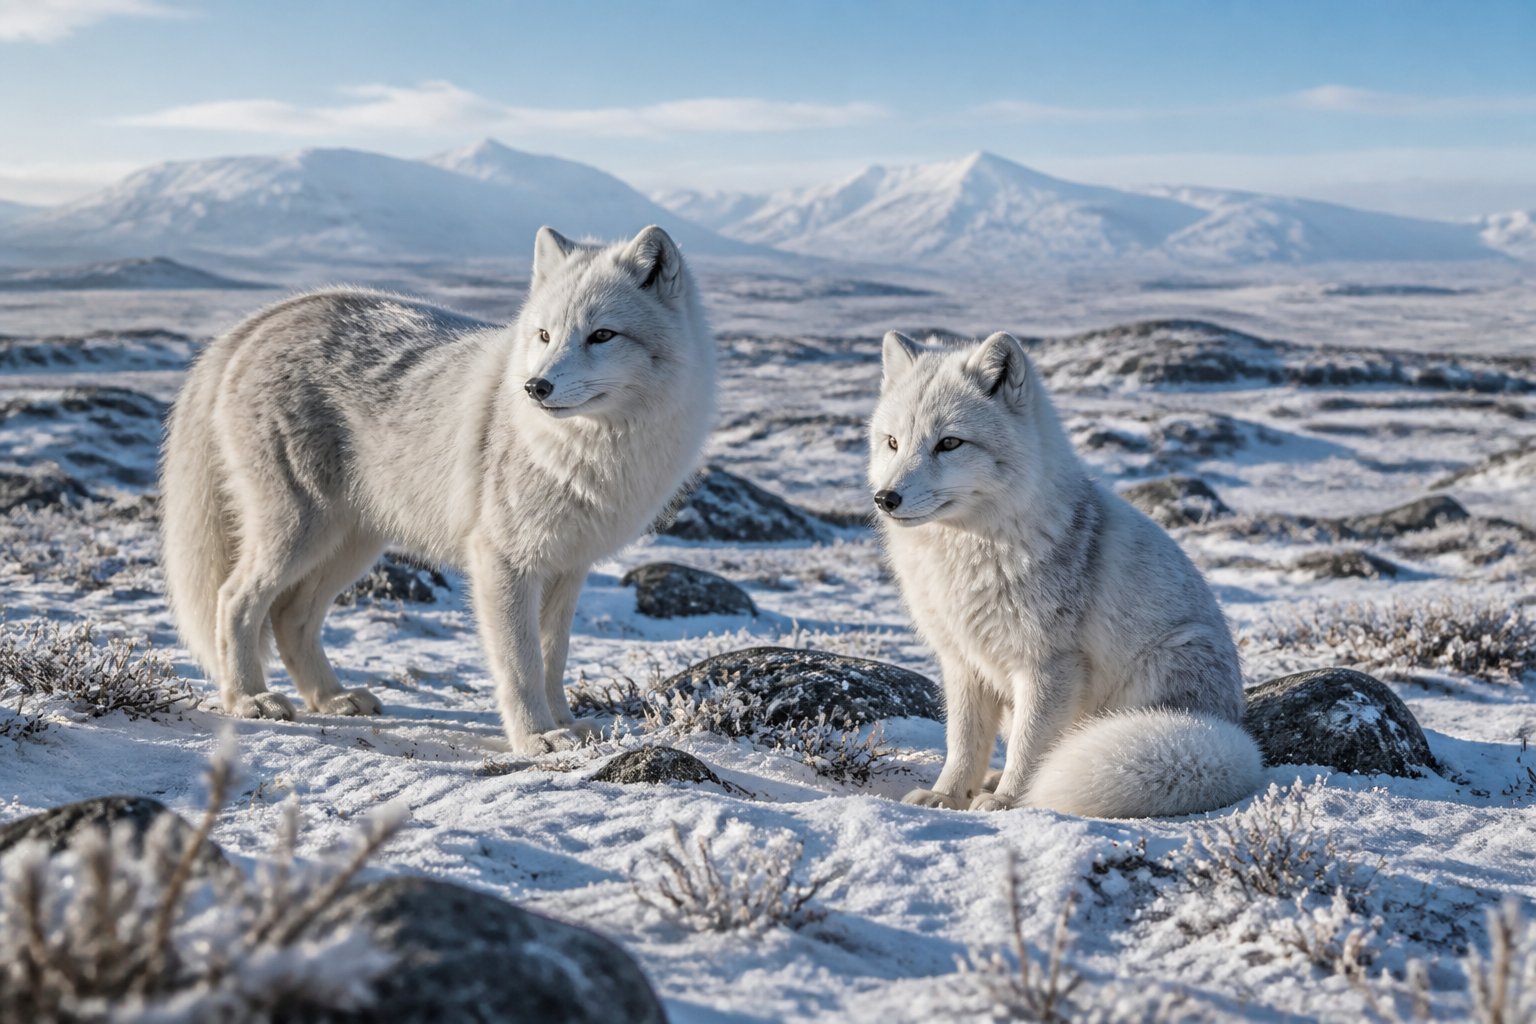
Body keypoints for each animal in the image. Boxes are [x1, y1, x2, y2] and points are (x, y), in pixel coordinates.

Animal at [160, 225, 716, 755]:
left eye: (602, 335)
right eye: (544, 334)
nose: (535, 388)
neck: (586, 451)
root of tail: (264, 318)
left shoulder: (567, 568)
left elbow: (552, 659)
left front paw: (564, 724)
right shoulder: (503, 560)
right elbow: (521, 665)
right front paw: (537, 737)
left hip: (352, 544)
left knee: (290, 616)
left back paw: (332, 698)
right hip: (299, 533)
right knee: (234, 599)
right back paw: (248, 698)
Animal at [868, 329, 1263, 818]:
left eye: (949, 443)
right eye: (892, 442)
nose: (886, 498)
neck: (969, 553)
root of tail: (1234, 727)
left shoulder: (1048, 663)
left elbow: (1031, 748)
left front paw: (1010, 802)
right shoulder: (962, 662)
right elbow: (963, 742)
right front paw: (947, 795)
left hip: (1158, 671)